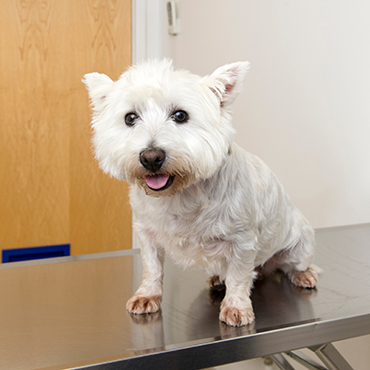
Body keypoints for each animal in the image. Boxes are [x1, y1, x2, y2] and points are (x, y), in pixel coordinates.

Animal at [84, 60, 318, 326]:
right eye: (130, 118)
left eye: (180, 115)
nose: (151, 157)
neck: (179, 194)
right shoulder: (146, 231)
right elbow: (152, 267)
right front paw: (147, 296)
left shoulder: (243, 240)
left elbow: (238, 276)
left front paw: (236, 307)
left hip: (300, 242)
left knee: (294, 265)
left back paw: (304, 275)